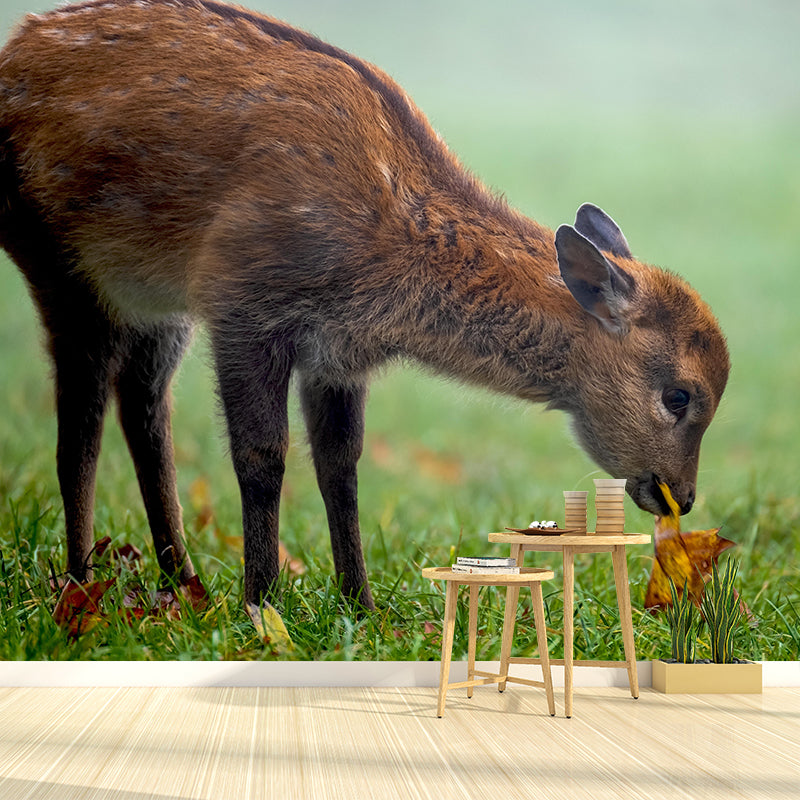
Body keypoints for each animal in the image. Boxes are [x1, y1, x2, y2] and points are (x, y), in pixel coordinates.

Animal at [0, 0, 729, 613]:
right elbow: (262, 455)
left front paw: (361, 602)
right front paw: (263, 605)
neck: (382, 272)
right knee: (81, 423)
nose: (683, 496)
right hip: (60, 263)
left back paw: (182, 581)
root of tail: (14, 48)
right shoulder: (243, 300)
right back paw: (82, 586)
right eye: (680, 396)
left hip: (156, 303)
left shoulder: (337, 354)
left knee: (145, 411)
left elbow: (341, 468)